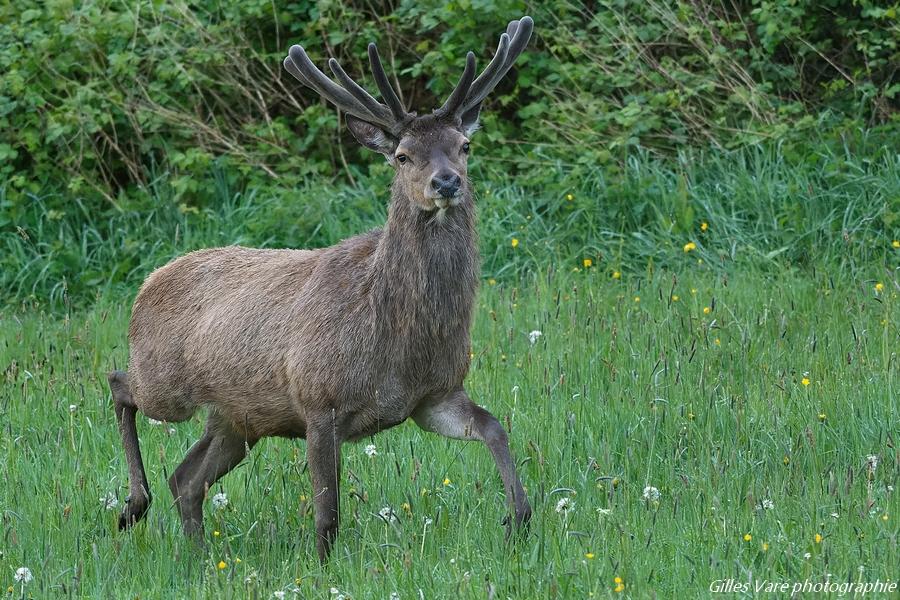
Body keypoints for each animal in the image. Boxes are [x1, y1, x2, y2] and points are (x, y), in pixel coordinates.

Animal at [110, 18, 536, 564]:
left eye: (464, 145)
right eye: (402, 156)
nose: (446, 183)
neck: (396, 339)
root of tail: (147, 283)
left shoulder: (433, 396)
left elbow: (494, 426)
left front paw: (517, 518)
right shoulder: (317, 400)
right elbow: (328, 512)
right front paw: (323, 568)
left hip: (237, 418)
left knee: (186, 477)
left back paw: (199, 555)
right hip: (167, 383)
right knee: (120, 384)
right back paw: (132, 506)